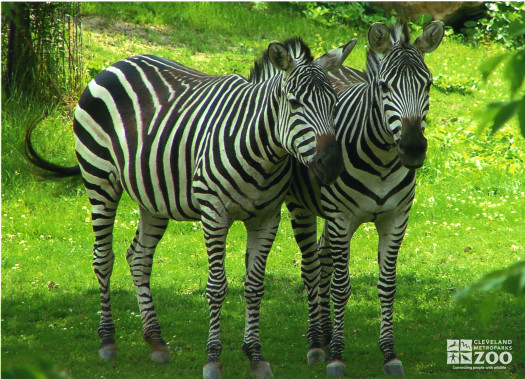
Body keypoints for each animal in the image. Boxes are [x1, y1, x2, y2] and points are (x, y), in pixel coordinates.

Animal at [24, 36, 356, 379]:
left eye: (334, 104)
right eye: (294, 103)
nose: (332, 165)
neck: (261, 150)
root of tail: (119, 63)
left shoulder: (266, 218)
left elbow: (254, 287)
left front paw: (255, 355)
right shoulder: (214, 213)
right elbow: (217, 286)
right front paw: (213, 359)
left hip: (153, 197)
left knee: (139, 257)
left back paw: (156, 341)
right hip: (99, 179)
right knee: (104, 258)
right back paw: (107, 341)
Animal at [249, 23, 442, 378]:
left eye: (428, 84)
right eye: (384, 86)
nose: (412, 148)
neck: (382, 161)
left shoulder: (396, 219)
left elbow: (387, 286)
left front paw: (389, 353)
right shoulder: (341, 217)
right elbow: (341, 287)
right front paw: (337, 355)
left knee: (323, 261)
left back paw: (325, 335)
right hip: (302, 208)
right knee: (312, 267)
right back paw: (317, 343)